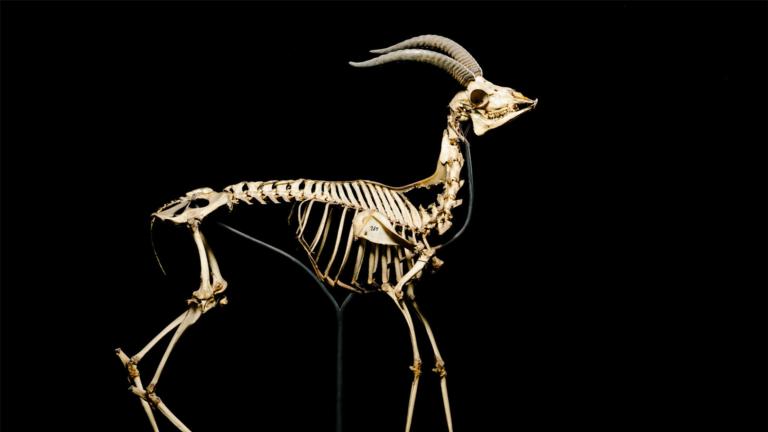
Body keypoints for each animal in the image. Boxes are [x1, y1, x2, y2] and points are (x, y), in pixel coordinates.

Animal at [116, 35, 537, 432]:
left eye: (495, 84)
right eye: (479, 97)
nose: (526, 101)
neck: (424, 216)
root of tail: (214, 196)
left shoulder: (411, 290)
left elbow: (439, 362)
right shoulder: (394, 288)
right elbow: (417, 364)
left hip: (208, 227)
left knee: (208, 293)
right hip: (205, 226)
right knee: (201, 300)